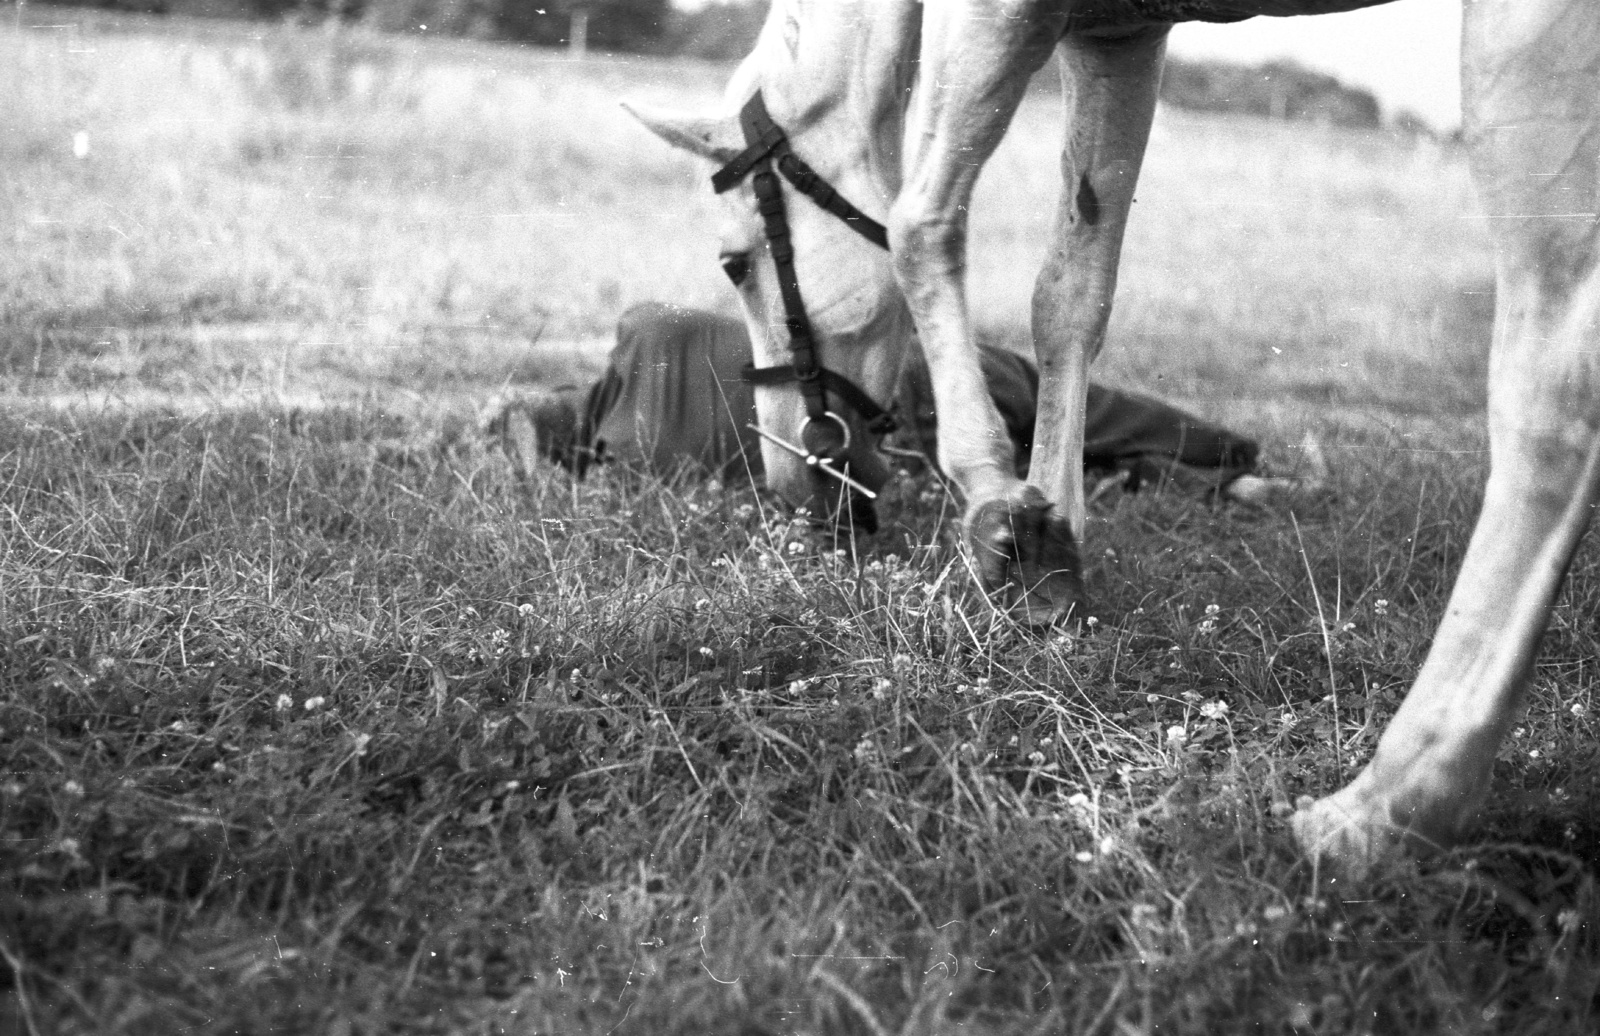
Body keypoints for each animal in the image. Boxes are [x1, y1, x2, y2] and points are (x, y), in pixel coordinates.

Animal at [630, 2, 1600, 876]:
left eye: (735, 263)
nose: (792, 480)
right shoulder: (1117, 39)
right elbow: (1072, 289)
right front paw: (1050, 544)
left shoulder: (995, 16)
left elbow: (919, 224)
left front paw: (997, 506)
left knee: (1552, 393)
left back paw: (1387, 806)